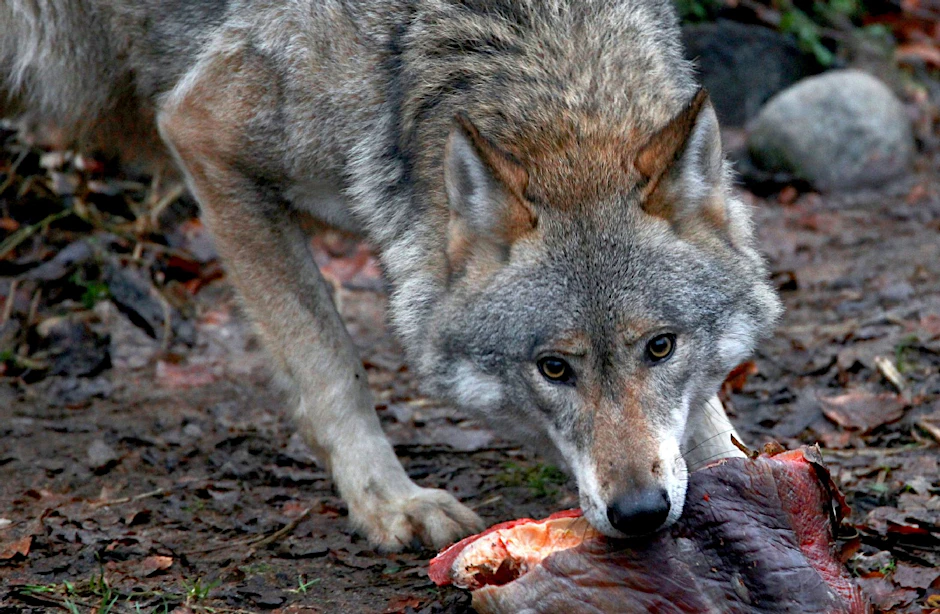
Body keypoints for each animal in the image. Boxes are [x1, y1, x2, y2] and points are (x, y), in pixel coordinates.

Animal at [1, 0, 781, 550]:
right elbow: (330, 366)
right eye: (554, 369)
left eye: (661, 347)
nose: (640, 513)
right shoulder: (205, 137)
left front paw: (750, 477)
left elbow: (705, 415)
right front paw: (389, 503)